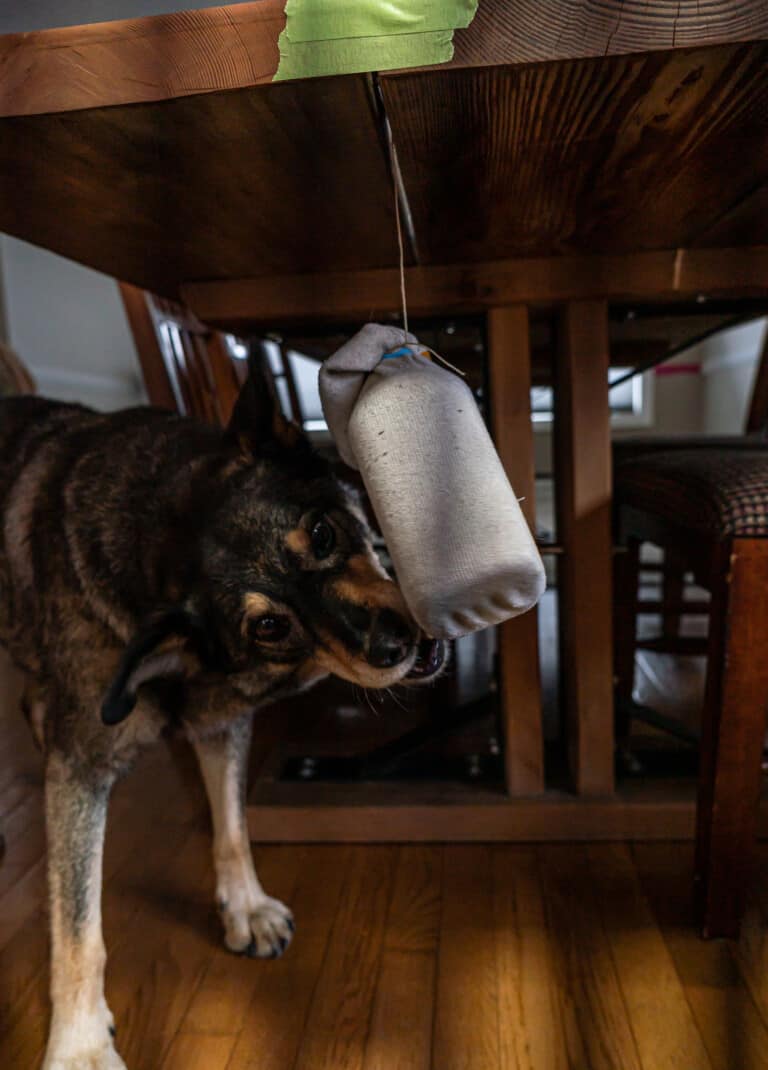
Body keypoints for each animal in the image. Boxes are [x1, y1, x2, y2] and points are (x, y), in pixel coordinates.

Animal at [0, 359, 444, 1070]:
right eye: (269, 625)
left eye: (323, 533)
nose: (392, 646)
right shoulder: (81, 768)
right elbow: (77, 924)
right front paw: (79, 1042)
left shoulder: (219, 721)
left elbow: (232, 822)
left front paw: (245, 907)